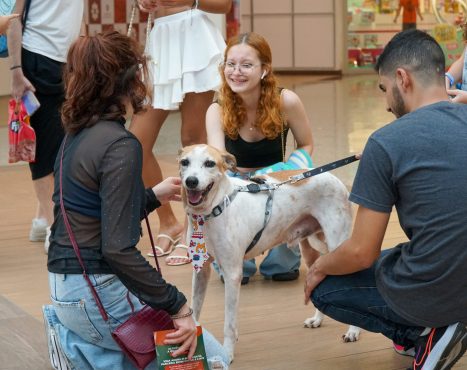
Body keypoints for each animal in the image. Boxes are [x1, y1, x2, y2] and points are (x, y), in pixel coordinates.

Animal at [179, 144, 362, 362]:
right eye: (184, 162)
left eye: (209, 163)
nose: (191, 181)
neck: (214, 209)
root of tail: (334, 177)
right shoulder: (201, 270)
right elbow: (195, 311)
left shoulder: (232, 275)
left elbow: (229, 325)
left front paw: (228, 353)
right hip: (312, 250)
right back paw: (317, 320)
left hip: (337, 244)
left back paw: (353, 330)